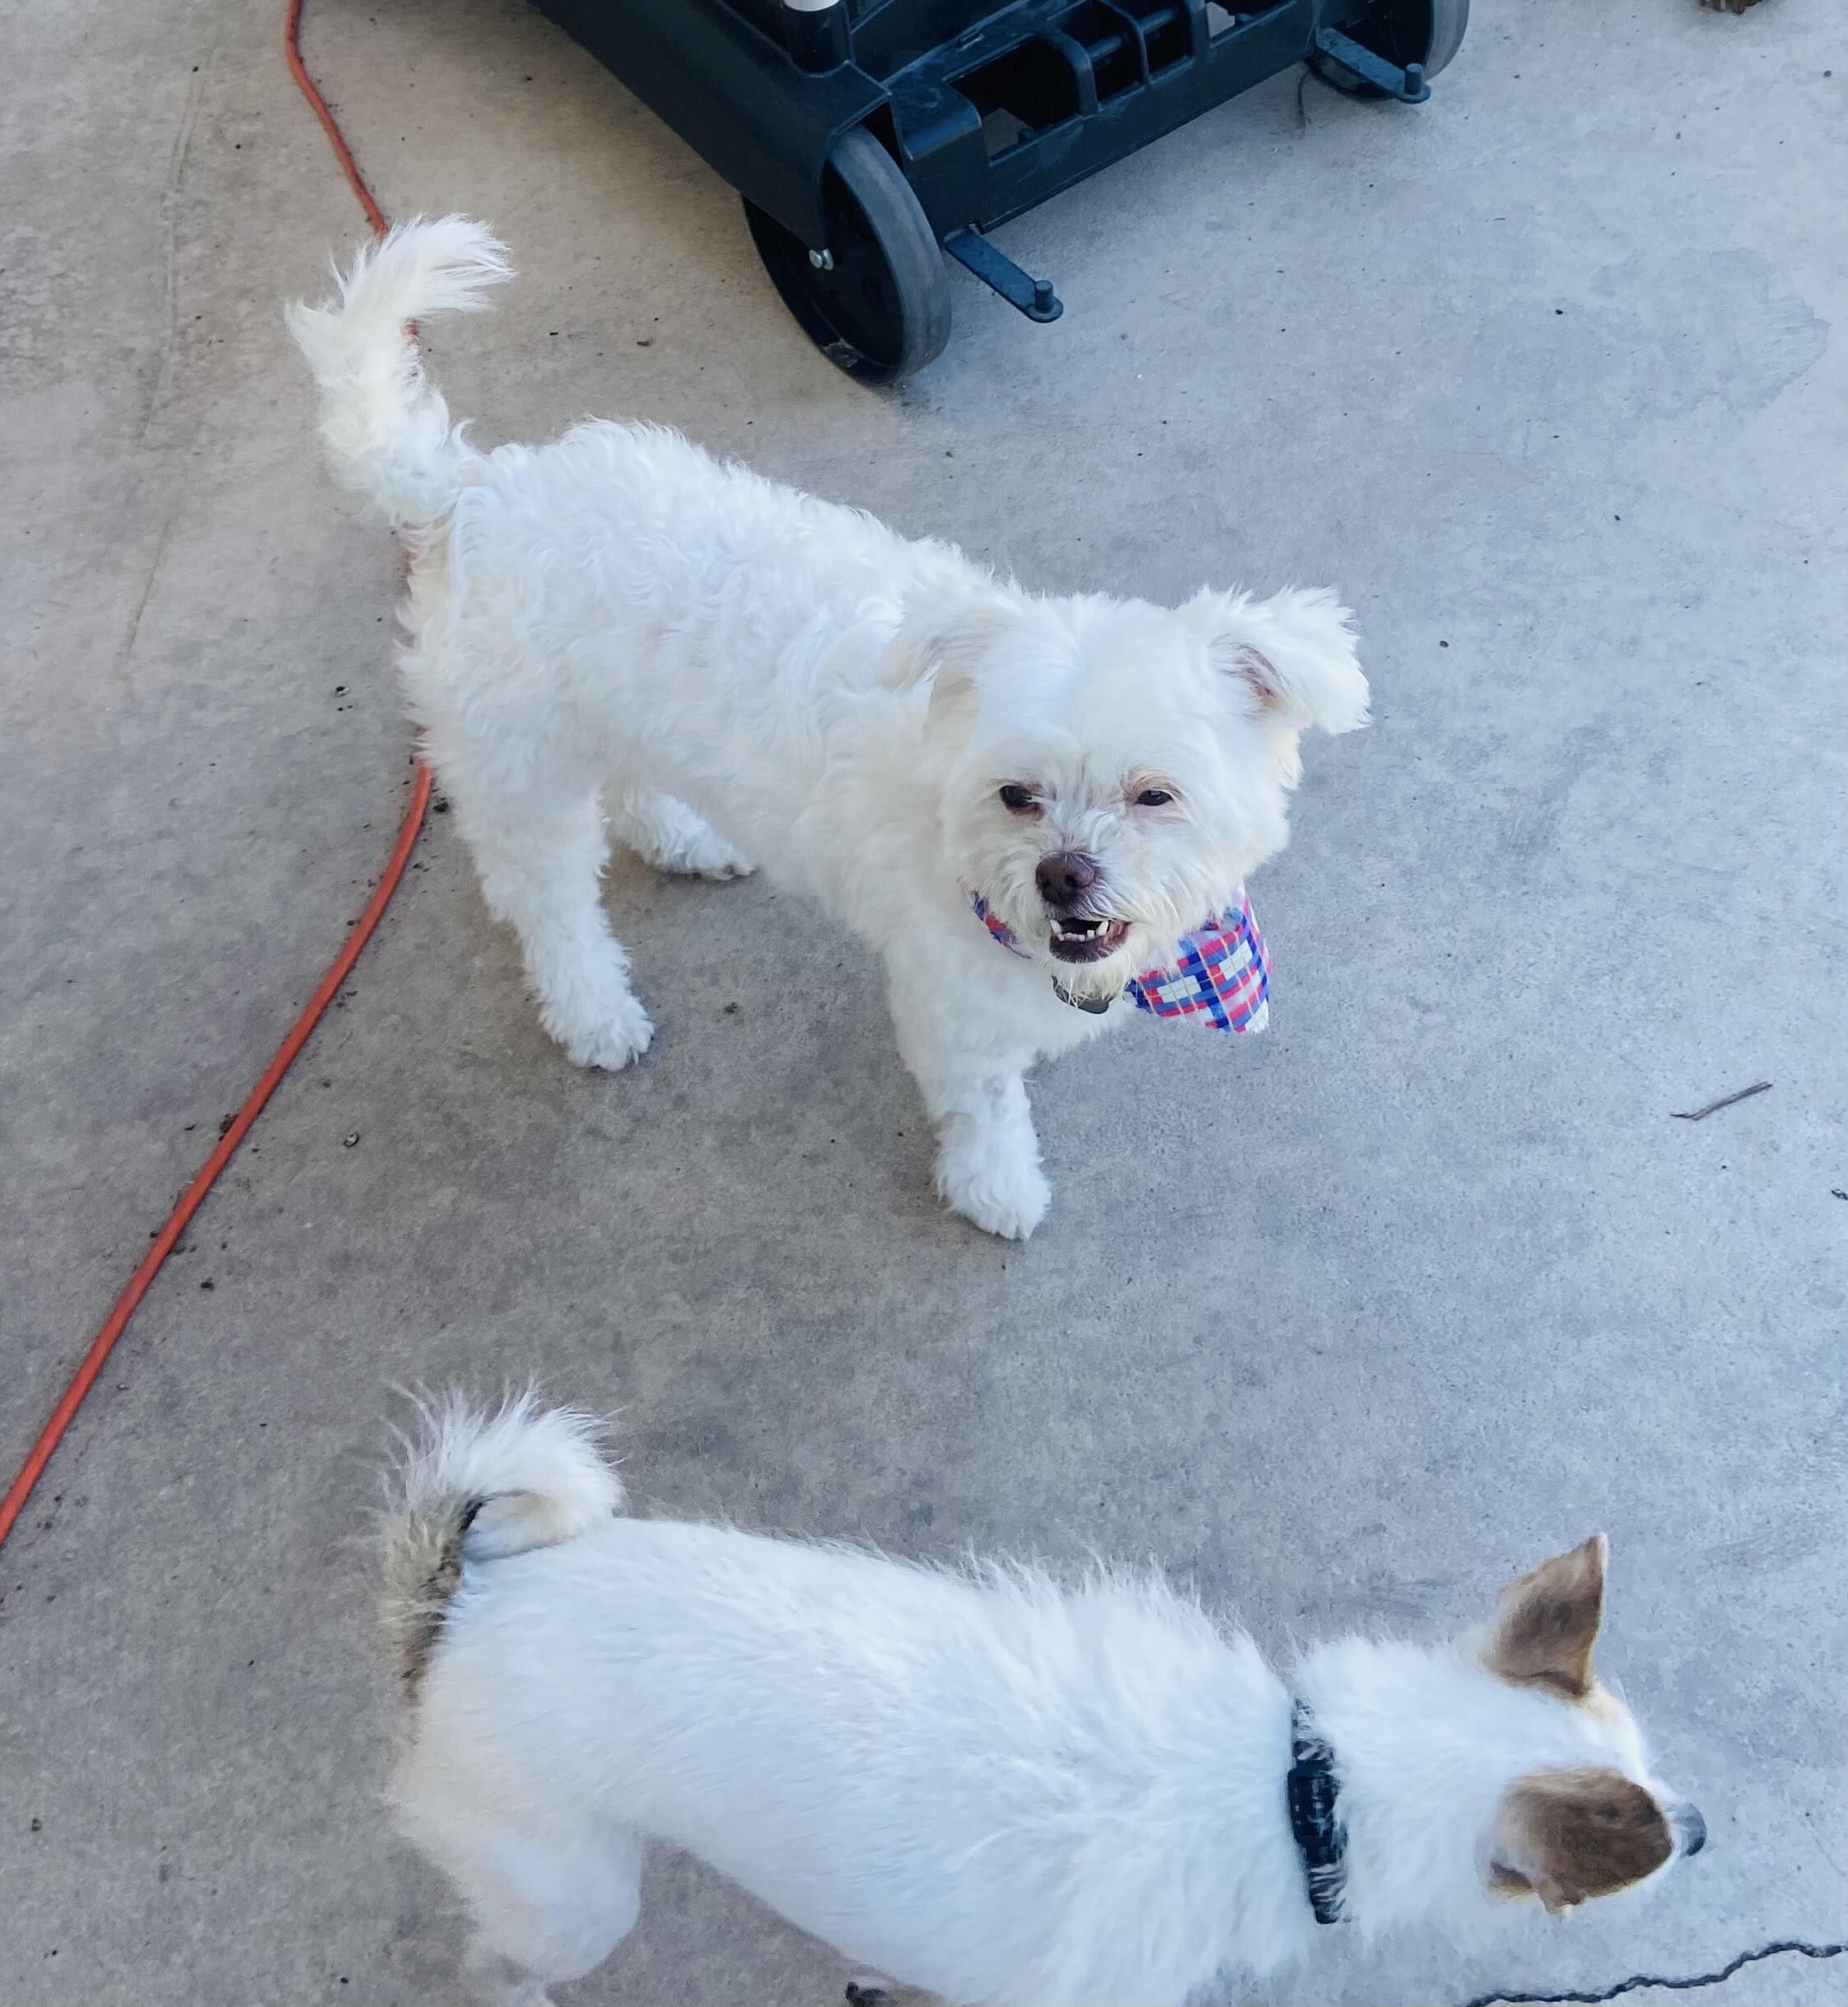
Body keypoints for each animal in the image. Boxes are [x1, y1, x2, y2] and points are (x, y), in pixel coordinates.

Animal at [292, 227, 1372, 1244]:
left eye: (1155, 794)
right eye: (1016, 795)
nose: (1064, 875)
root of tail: (470, 489)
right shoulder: (949, 1002)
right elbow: (984, 1106)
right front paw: (996, 1186)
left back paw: (681, 839)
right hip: (523, 774)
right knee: (552, 910)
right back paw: (596, 1013)